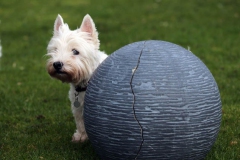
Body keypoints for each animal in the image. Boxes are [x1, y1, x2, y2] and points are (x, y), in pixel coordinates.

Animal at [46, 14, 108, 142]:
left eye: (75, 51)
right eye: (55, 50)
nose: (57, 64)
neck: (84, 84)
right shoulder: (78, 107)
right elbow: (80, 122)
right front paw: (80, 136)